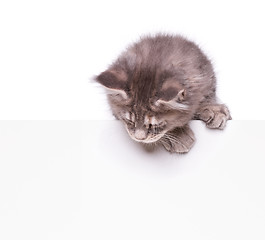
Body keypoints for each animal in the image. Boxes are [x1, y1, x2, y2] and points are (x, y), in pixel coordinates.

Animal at [94, 33, 230, 153]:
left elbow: (207, 96)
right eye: (129, 121)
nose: (139, 138)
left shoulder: (207, 76)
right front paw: (179, 136)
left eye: (153, 125)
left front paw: (214, 110)